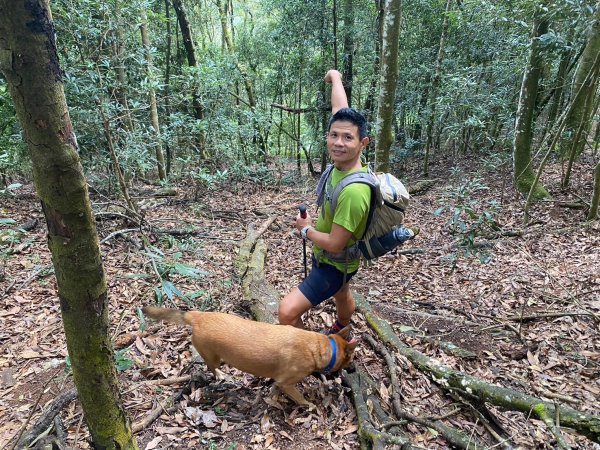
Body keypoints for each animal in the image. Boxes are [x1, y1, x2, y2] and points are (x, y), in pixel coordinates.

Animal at [141, 308, 356, 406]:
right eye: (350, 360)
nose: (353, 371)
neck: (318, 348)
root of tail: (199, 315)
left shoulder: (280, 382)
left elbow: (274, 389)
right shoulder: (287, 382)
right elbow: (299, 397)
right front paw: (308, 404)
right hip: (213, 357)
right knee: (212, 367)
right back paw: (220, 376)